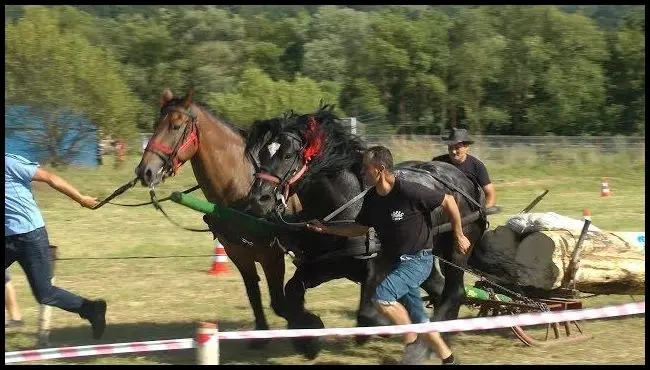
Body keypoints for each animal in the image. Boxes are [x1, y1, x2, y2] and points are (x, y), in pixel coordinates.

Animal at [136, 88, 302, 348]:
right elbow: (254, 294)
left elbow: (279, 303)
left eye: (175, 126)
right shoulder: (238, 253)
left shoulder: (271, 255)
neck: (242, 186)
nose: (145, 171)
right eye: (155, 125)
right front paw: (261, 336)